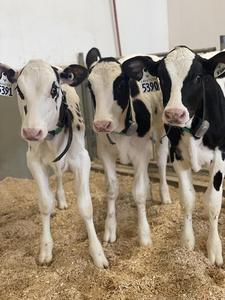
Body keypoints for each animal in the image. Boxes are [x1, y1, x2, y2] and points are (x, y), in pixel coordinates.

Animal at [0, 59, 108, 268]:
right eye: (20, 91)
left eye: (54, 89)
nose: (32, 132)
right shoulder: (33, 161)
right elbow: (45, 204)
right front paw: (46, 248)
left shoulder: (83, 160)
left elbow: (85, 206)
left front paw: (97, 252)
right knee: (57, 175)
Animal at [123, 45, 225, 264]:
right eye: (162, 77)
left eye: (197, 76)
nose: (175, 114)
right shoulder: (177, 157)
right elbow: (187, 199)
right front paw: (187, 242)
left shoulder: (220, 157)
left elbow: (213, 203)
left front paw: (214, 248)